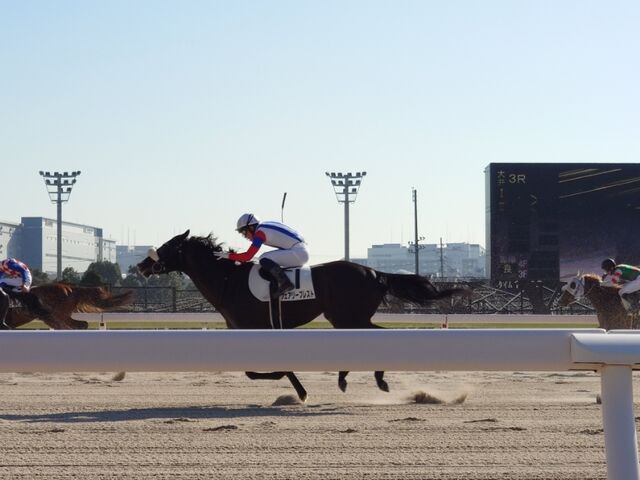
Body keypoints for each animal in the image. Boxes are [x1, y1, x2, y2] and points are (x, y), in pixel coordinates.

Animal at [137, 230, 472, 401]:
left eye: (167, 246)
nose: (141, 265)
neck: (227, 281)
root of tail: (375, 272)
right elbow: (252, 371)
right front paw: (295, 387)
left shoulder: (258, 328)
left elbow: (268, 369)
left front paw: (300, 391)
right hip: (346, 318)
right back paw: (347, 379)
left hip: (348, 316)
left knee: (379, 336)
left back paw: (374, 380)